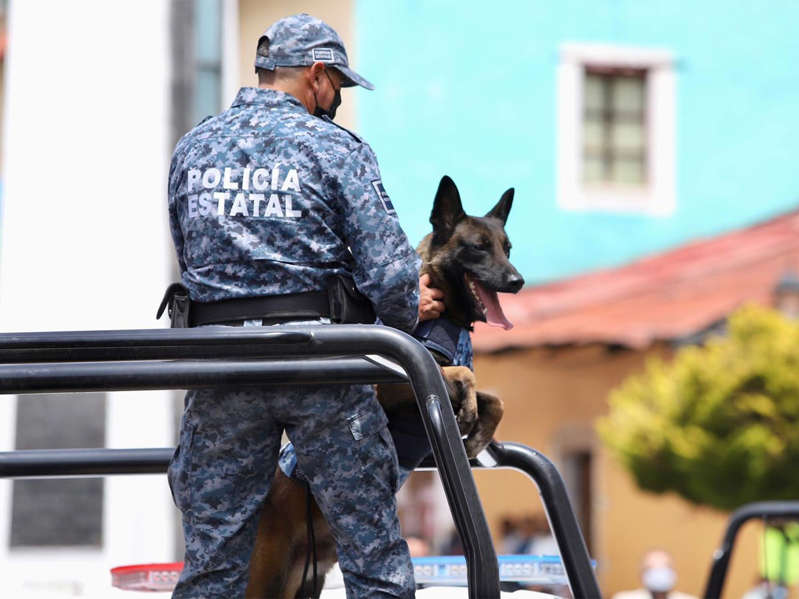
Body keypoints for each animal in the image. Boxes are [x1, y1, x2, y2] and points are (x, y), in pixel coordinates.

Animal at [247, 176, 520, 596]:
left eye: (507, 249)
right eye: (478, 247)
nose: (517, 281)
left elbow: (495, 398)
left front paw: (478, 430)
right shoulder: (392, 384)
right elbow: (465, 376)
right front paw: (469, 412)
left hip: (306, 579)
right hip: (266, 579)